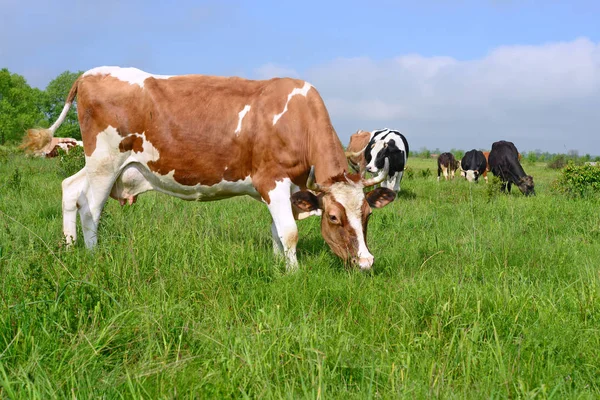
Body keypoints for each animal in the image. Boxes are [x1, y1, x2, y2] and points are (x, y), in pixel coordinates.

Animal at [22, 66, 398, 272]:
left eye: (367, 214)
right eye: (334, 217)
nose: (366, 262)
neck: (297, 117)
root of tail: (89, 73)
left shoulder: (286, 187)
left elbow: (276, 231)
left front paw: (278, 265)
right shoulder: (273, 179)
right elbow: (290, 232)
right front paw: (293, 274)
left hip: (98, 164)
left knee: (70, 189)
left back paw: (68, 246)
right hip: (104, 161)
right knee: (91, 208)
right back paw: (92, 254)